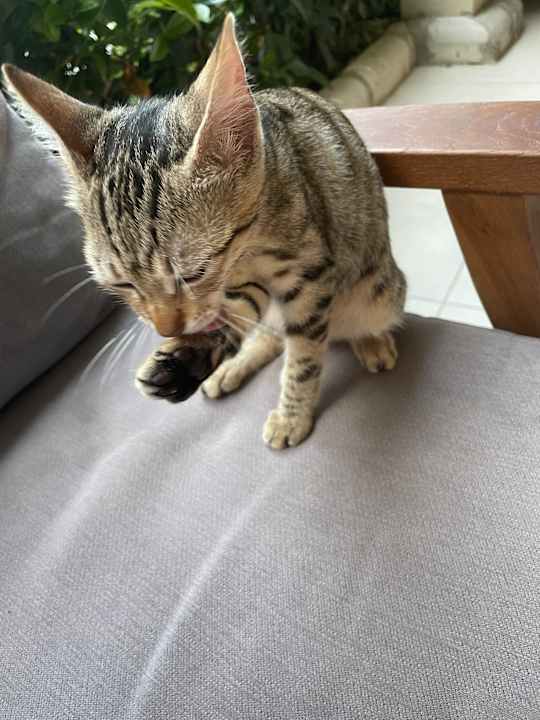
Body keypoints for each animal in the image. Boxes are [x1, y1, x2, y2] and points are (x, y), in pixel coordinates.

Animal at [2, 13, 406, 450]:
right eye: (123, 285)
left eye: (193, 273)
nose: (165, 329)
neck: (249, 248)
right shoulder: (242, 287)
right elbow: (236, 316)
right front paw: (189, 358)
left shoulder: (310, 278)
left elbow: (303, 358)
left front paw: (292, 414)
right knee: (272, 333)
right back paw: (232, 366)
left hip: (379, 292)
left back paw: (370, 341)